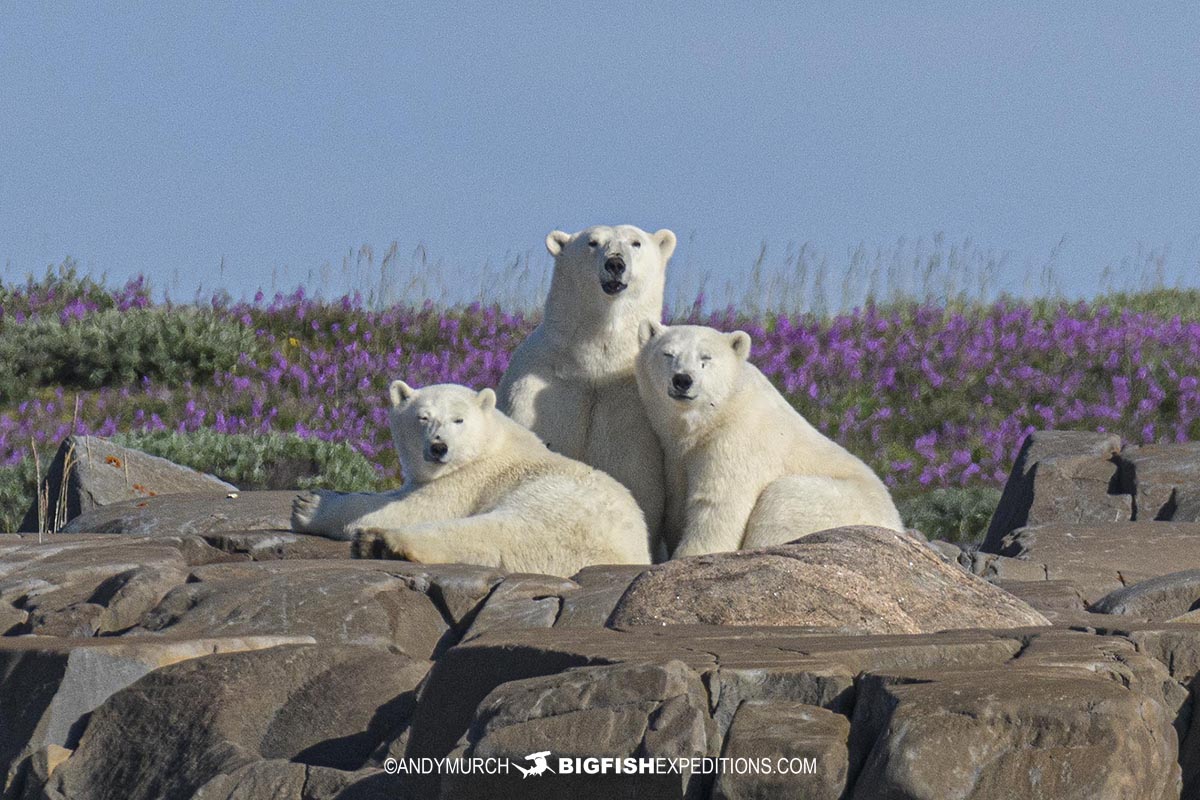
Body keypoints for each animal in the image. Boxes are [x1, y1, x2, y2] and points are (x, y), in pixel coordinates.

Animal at [290, 381, 652, 575]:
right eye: (423, 417)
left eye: (458, 419)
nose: (439, 447)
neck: (489, 442)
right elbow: (398, 494)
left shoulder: (469, 479)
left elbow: (415, 508)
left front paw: (308, 506)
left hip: (556, 511)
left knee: (491, 534)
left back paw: (380, 542)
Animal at [496, 221, 676, 554]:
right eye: (592, 243)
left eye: (635, 243)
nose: (615, 264)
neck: (592, 365)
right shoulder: (538, 389)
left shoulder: (630, 410)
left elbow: (638, 482)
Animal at [638, 321, 902, 556]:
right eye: (668, 354)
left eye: (706, 358)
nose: (682, 380)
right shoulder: (674, 454)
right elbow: (677, 499)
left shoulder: (737, 438)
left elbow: (717, 504)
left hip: (829, 502)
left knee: (782, 500)